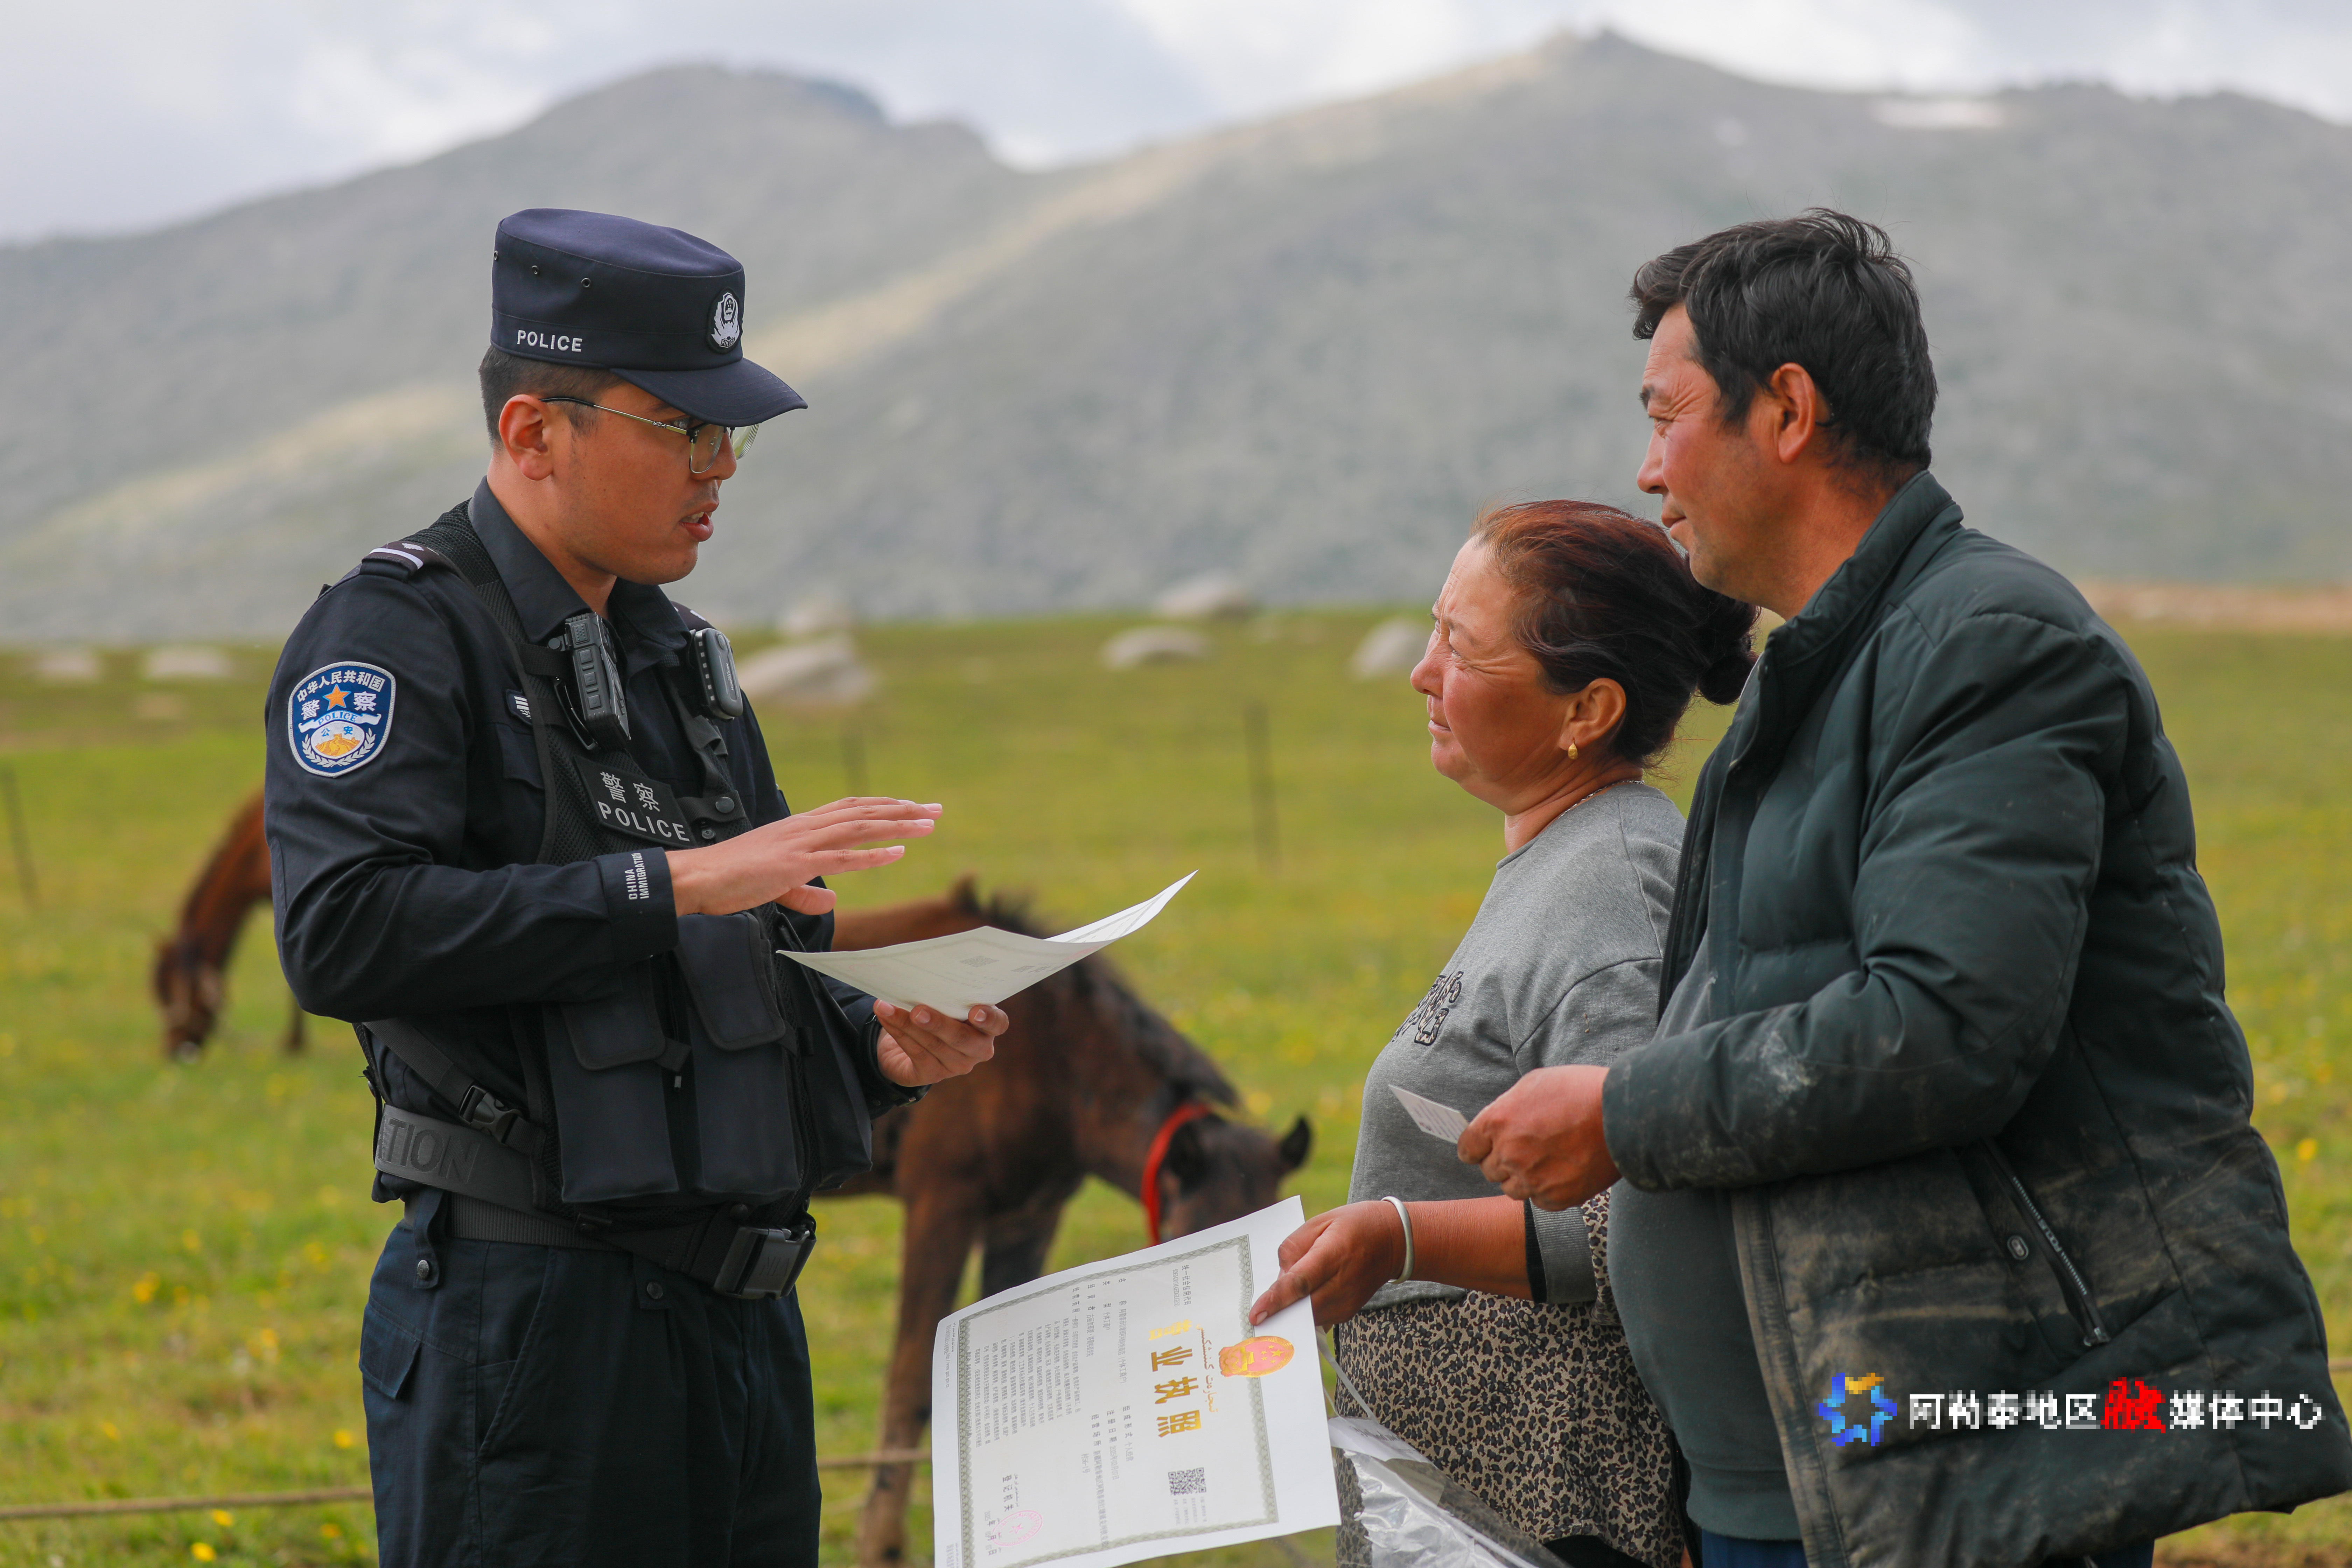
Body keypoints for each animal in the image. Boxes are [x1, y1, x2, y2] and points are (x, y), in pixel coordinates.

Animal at [828, 880, 1312, 1568]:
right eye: (1193, 1237)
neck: (1047, 1056)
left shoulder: (1027, 1217)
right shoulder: (941, 1206)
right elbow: (909, 1385)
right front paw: (881, 1547)